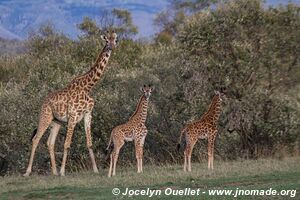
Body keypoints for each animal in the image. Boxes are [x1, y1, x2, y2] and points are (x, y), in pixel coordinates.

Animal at [23, 30, 118, 176]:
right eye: (106, 40)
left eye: (115, 40)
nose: (112, 47)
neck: (88, 86)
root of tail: (43, 101)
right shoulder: (73, 116)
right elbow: (67, 144)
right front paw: (63, 172)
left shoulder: (87, 114)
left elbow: (89, 143)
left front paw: (95, 170)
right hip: (45, 116)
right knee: (36, 139)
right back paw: (28, 172)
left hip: (57, 122)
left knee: (50, 142)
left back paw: (54, 172)